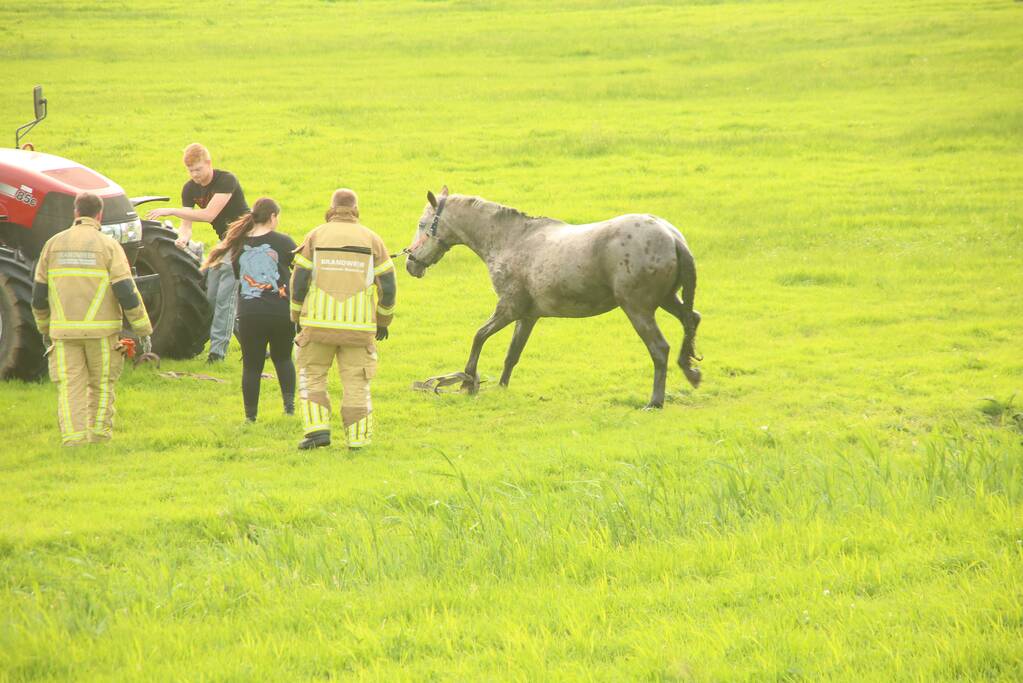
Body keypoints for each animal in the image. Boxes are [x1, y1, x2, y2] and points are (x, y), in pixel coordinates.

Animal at [405, 186, 701, 409]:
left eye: (422, 224)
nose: (410, 263)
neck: (510, 240)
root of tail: (672, 236)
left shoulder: (508, 309)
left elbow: (478, 337)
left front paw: (468, 382)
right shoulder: (527, 317)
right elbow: (512, 355)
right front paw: (500, 387)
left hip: (638, 309)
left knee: (660, 348)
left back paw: (655, 401)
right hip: (666, 300)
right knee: (692, 319)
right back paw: (691, 372)